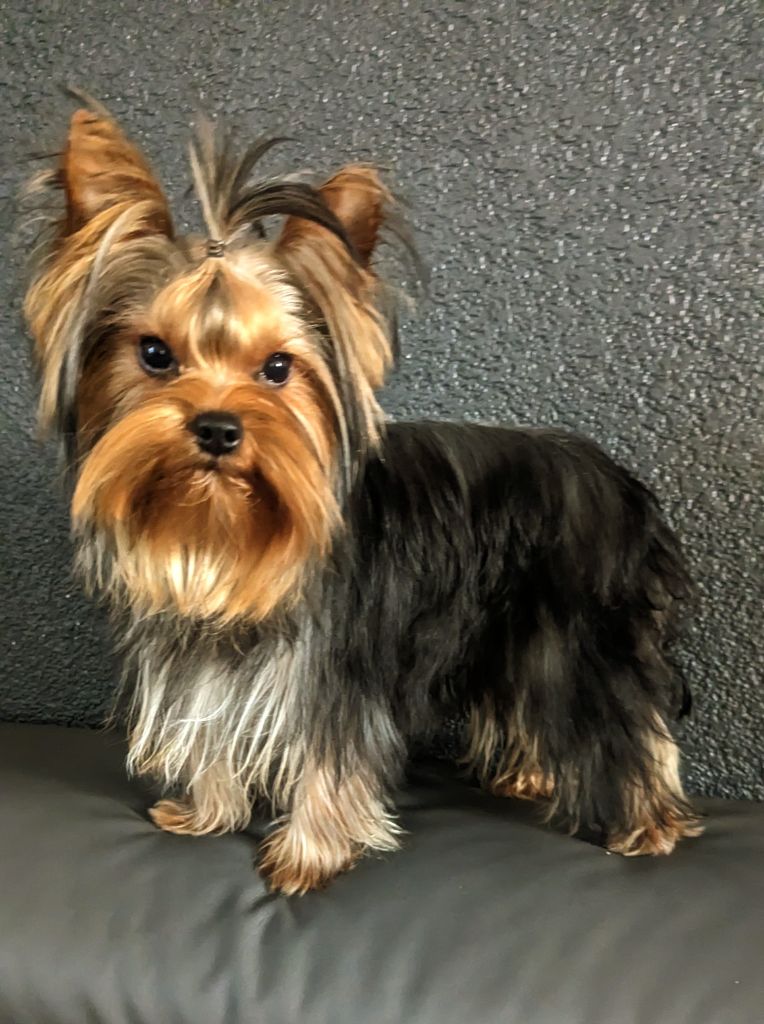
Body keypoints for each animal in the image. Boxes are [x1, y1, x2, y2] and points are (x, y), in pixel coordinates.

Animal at [23, 102, 701, 894]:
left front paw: (306, 856)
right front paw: (206, 813)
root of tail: (619, 482)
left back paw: (649, 825)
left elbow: (331, 759)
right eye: (155, 354)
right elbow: (211, 727)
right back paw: (530, 780)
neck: (223, 534)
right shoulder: (204, 659)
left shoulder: (338, 672)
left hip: (579, 634)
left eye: (277, 367)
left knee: (629, 720)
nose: (218, 428)